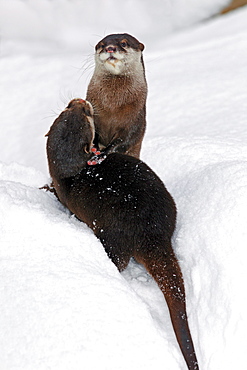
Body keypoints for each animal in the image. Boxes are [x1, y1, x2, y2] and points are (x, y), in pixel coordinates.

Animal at [45, 98, 199, 370]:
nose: (80, 101)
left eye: (85, 115)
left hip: (111, 234)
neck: (71, 174)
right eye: (68, 110)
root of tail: (151, 231)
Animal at [86, 33, 148, 162]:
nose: (110, 48)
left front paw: (101, 154)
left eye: (123, 43)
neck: (112, 105)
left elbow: (126, 139)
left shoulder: (136, 118)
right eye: (102, 45)